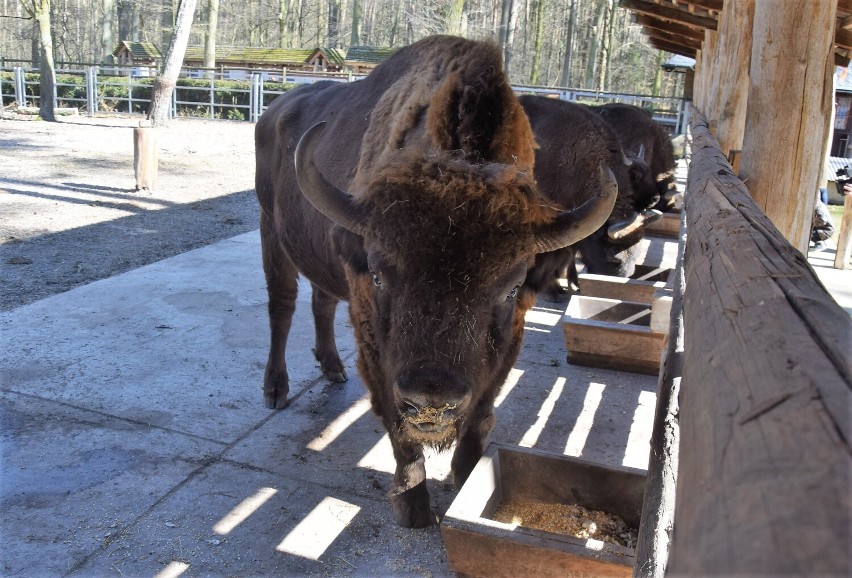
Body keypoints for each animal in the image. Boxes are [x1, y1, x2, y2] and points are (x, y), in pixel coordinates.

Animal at [250, 33, 616, 524]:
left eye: (511, 287)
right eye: (381, 275)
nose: (432, 399)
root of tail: (276, 108)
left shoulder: (507, 343)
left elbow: (480, 416)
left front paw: (465, 480)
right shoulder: (378, 349)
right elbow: (399, 429)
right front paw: (415, 509)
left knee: (320, 302)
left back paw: (333, 369)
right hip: (270, 230)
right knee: (282, 306)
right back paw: (276, 388)